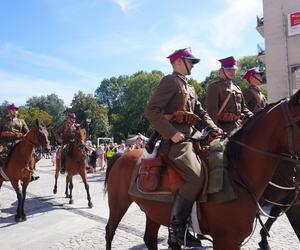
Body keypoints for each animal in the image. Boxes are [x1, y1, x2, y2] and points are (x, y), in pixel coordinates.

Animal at [103, 90, 300, 250]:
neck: (237, 173)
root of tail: (122, 155)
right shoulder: (226, 239)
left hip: (152, 210)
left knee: (149, 238)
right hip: (118, 203)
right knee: (109, 231)